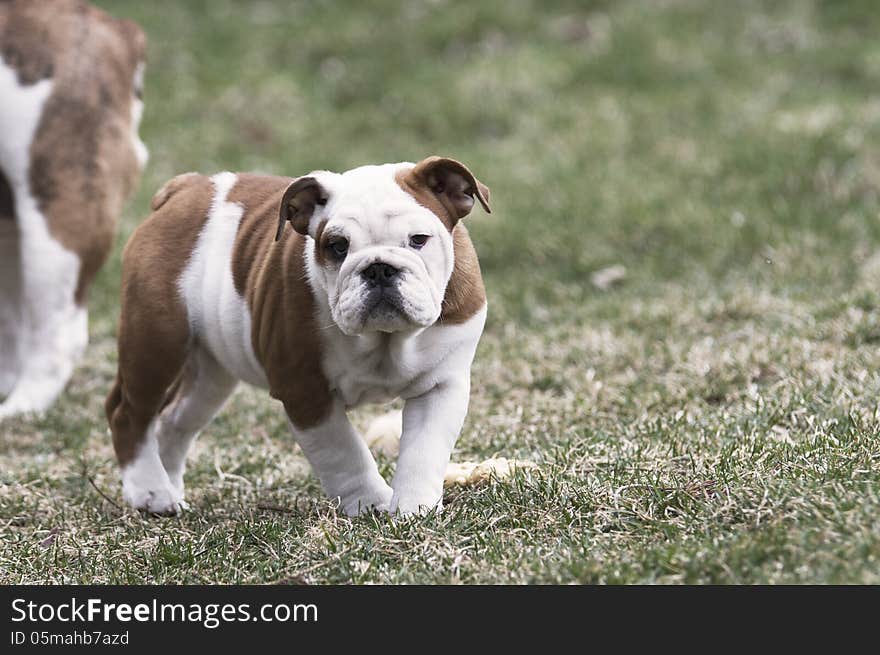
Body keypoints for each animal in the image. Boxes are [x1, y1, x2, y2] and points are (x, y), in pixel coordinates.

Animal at [106, 158, 492, 516]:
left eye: (418, 240)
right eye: (337, 246)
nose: (379, 268)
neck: (385, 340)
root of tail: (185, 189)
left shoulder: (440, 387)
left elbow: (423, 452)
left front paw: (413, 508)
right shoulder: (306, 392)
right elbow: (345, 454)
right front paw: (370, 503)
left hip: (210, 374)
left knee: (174, 421)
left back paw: (169, 486)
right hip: (156, 342)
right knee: (129, 413)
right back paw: (151, 492)